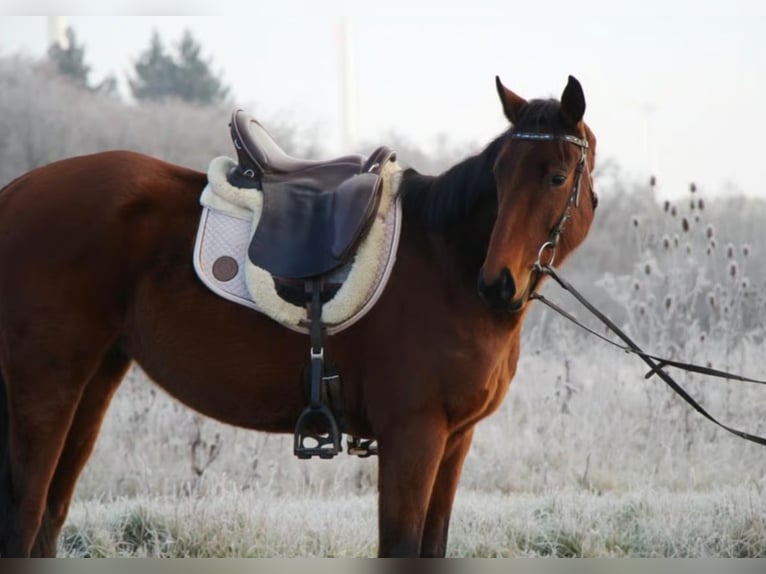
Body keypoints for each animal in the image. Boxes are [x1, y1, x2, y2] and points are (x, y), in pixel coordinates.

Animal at [0, 75, 597, 558]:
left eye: (556, 176)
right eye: (500, 175)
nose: (499, 283)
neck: (444, 259)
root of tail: (17, 190)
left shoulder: (454, 441)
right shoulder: (414, 436)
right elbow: (401, 548)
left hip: (94, 382)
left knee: (48, 519)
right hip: (45, 389)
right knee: (24, 518)